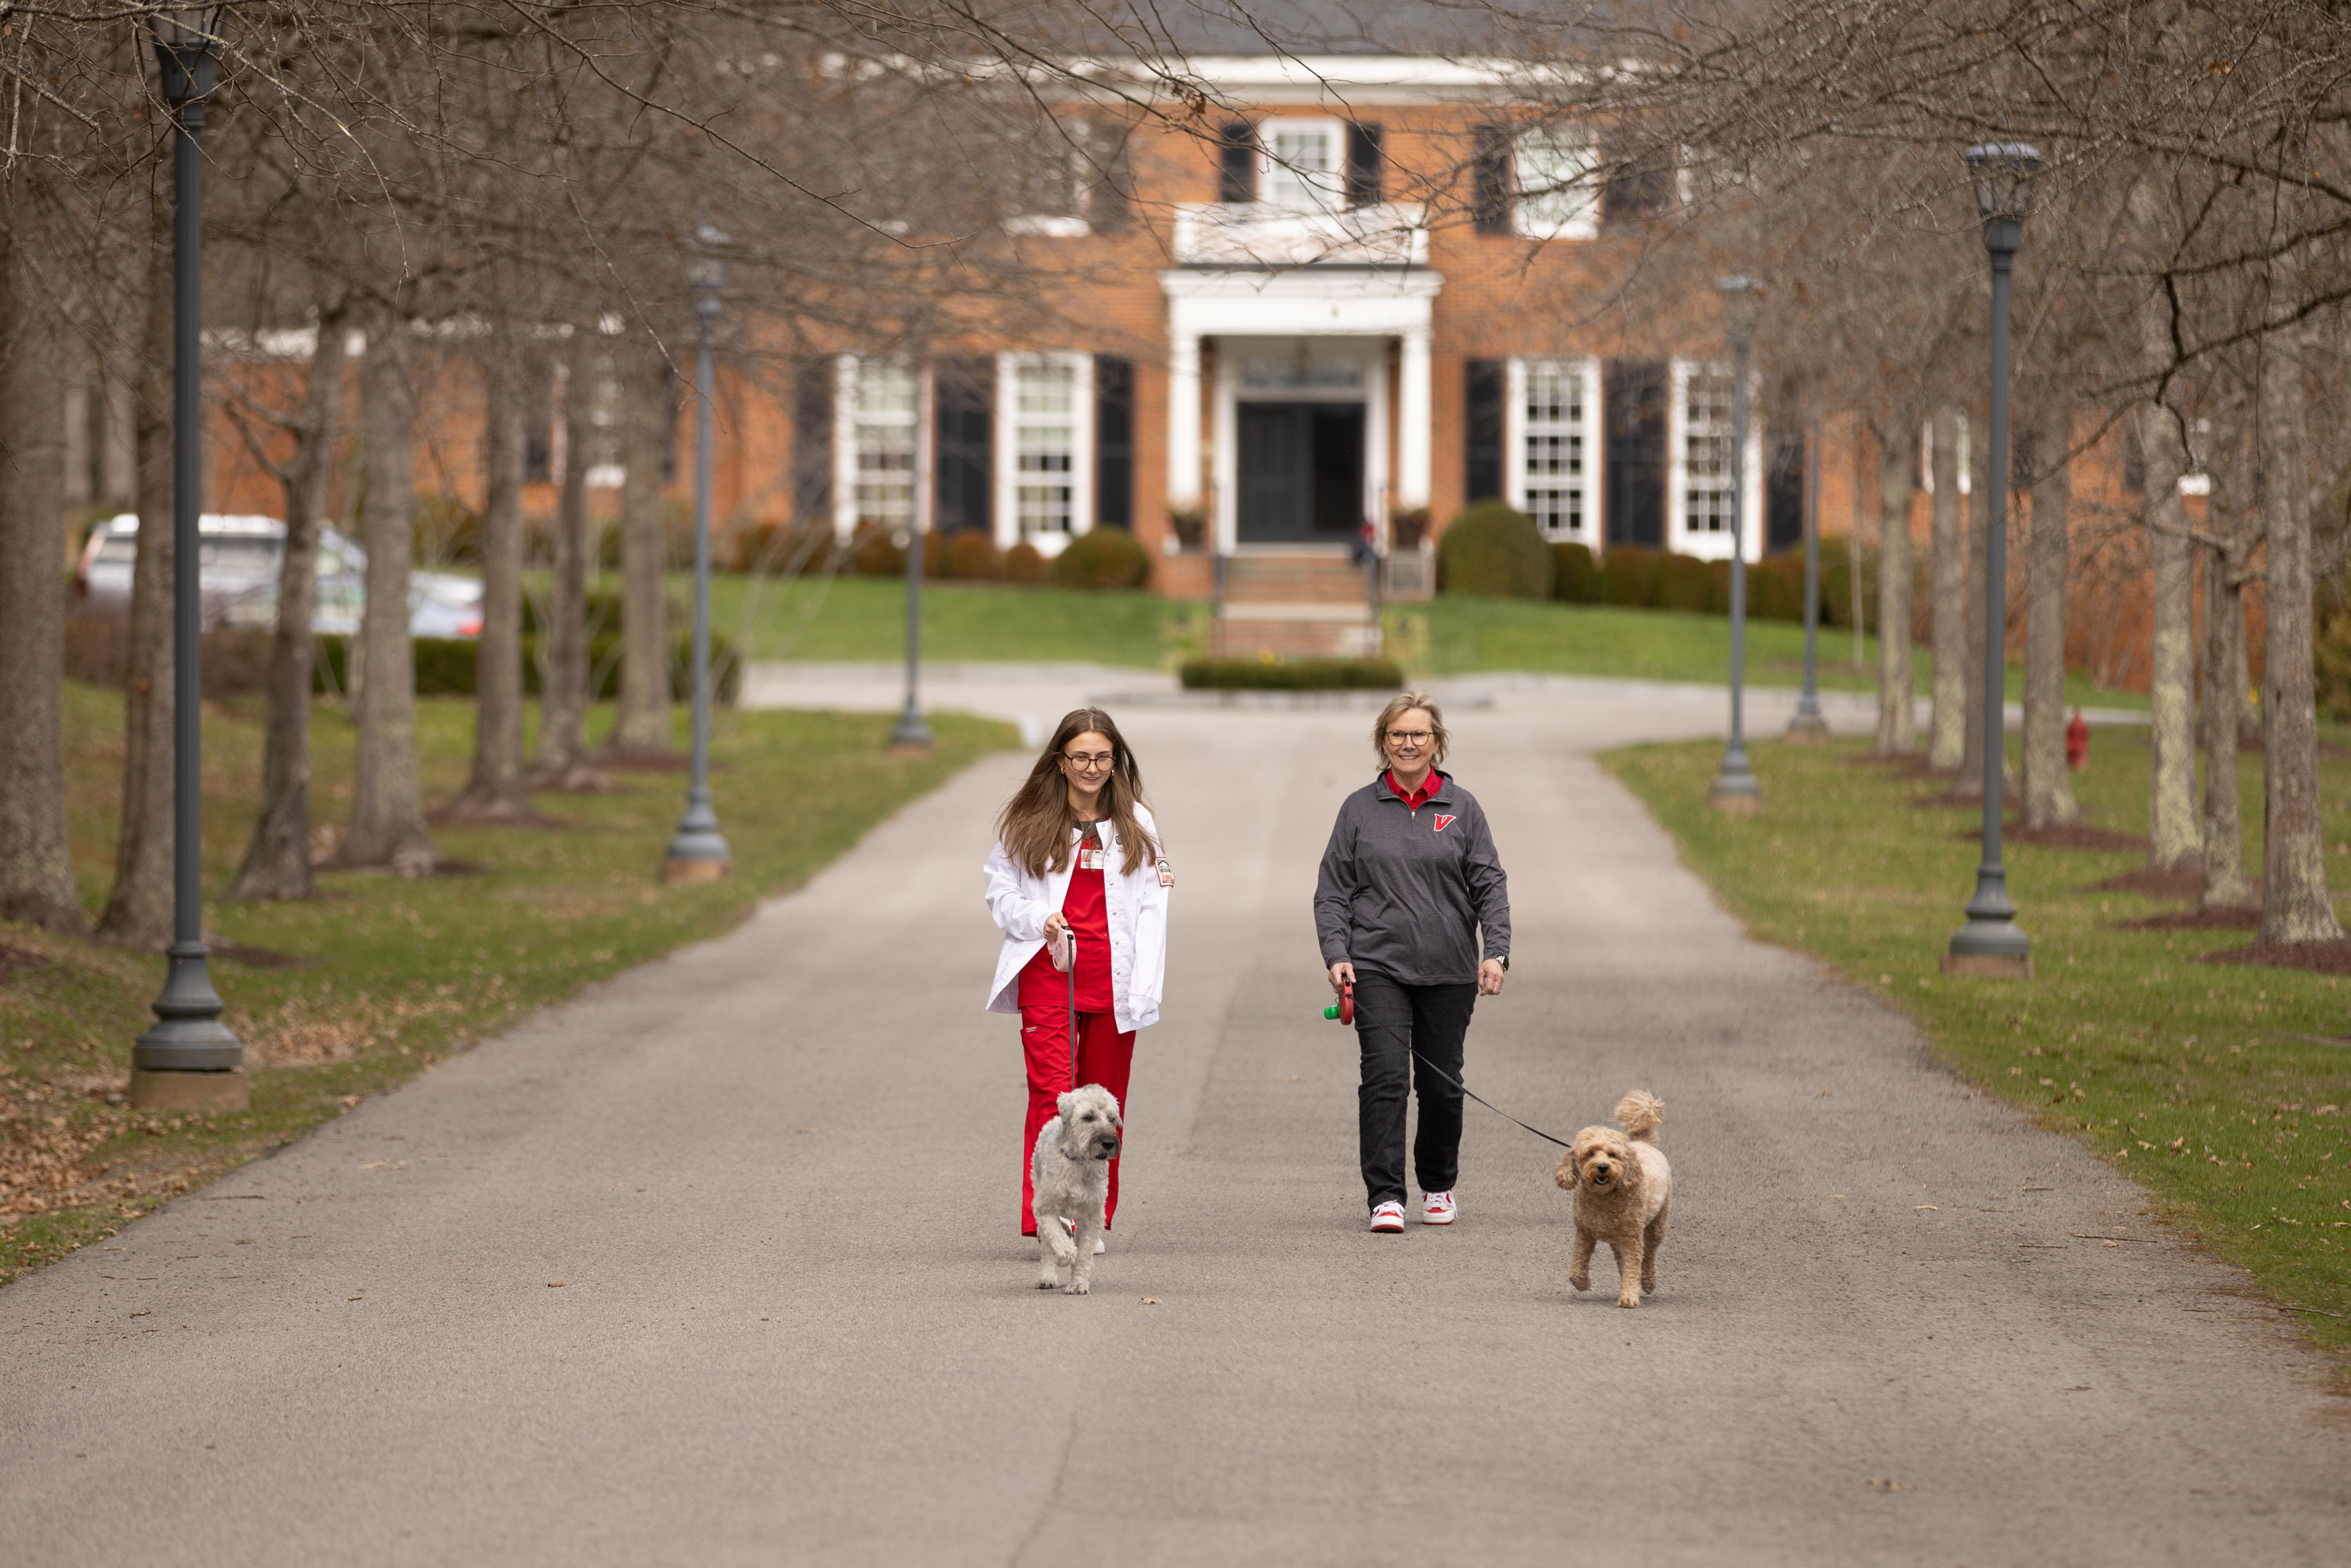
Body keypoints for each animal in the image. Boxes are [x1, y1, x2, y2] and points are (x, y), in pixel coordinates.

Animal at [1030, 1086, 1119, 1298]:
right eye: (1088, 1117)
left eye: (1112, 1119)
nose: (1108, 1143)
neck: (1078, 1160)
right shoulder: (1045, 1209)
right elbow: (1057, 1237)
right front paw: (1067, 1255)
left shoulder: (1092, 1216)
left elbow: (1084, 1253)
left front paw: (1078, 1284)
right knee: (1047, 1247)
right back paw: (1047, 1277)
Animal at [1552, 1086, 1665, 1307]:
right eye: (1590, 1153)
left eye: (1613, 1155)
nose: (1603, 1167)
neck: (1604, 1197)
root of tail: (1642, 1142)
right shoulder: (1584, 1232)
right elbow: (1577, 1266)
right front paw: (1582, 1283)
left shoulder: (1631, 1238)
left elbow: (1633, 1264)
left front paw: (1629, 1297)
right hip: (1616, 1238)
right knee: (1623, 1260)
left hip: (1657, 1222)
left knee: (1649, 1254)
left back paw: (1647, 1281)